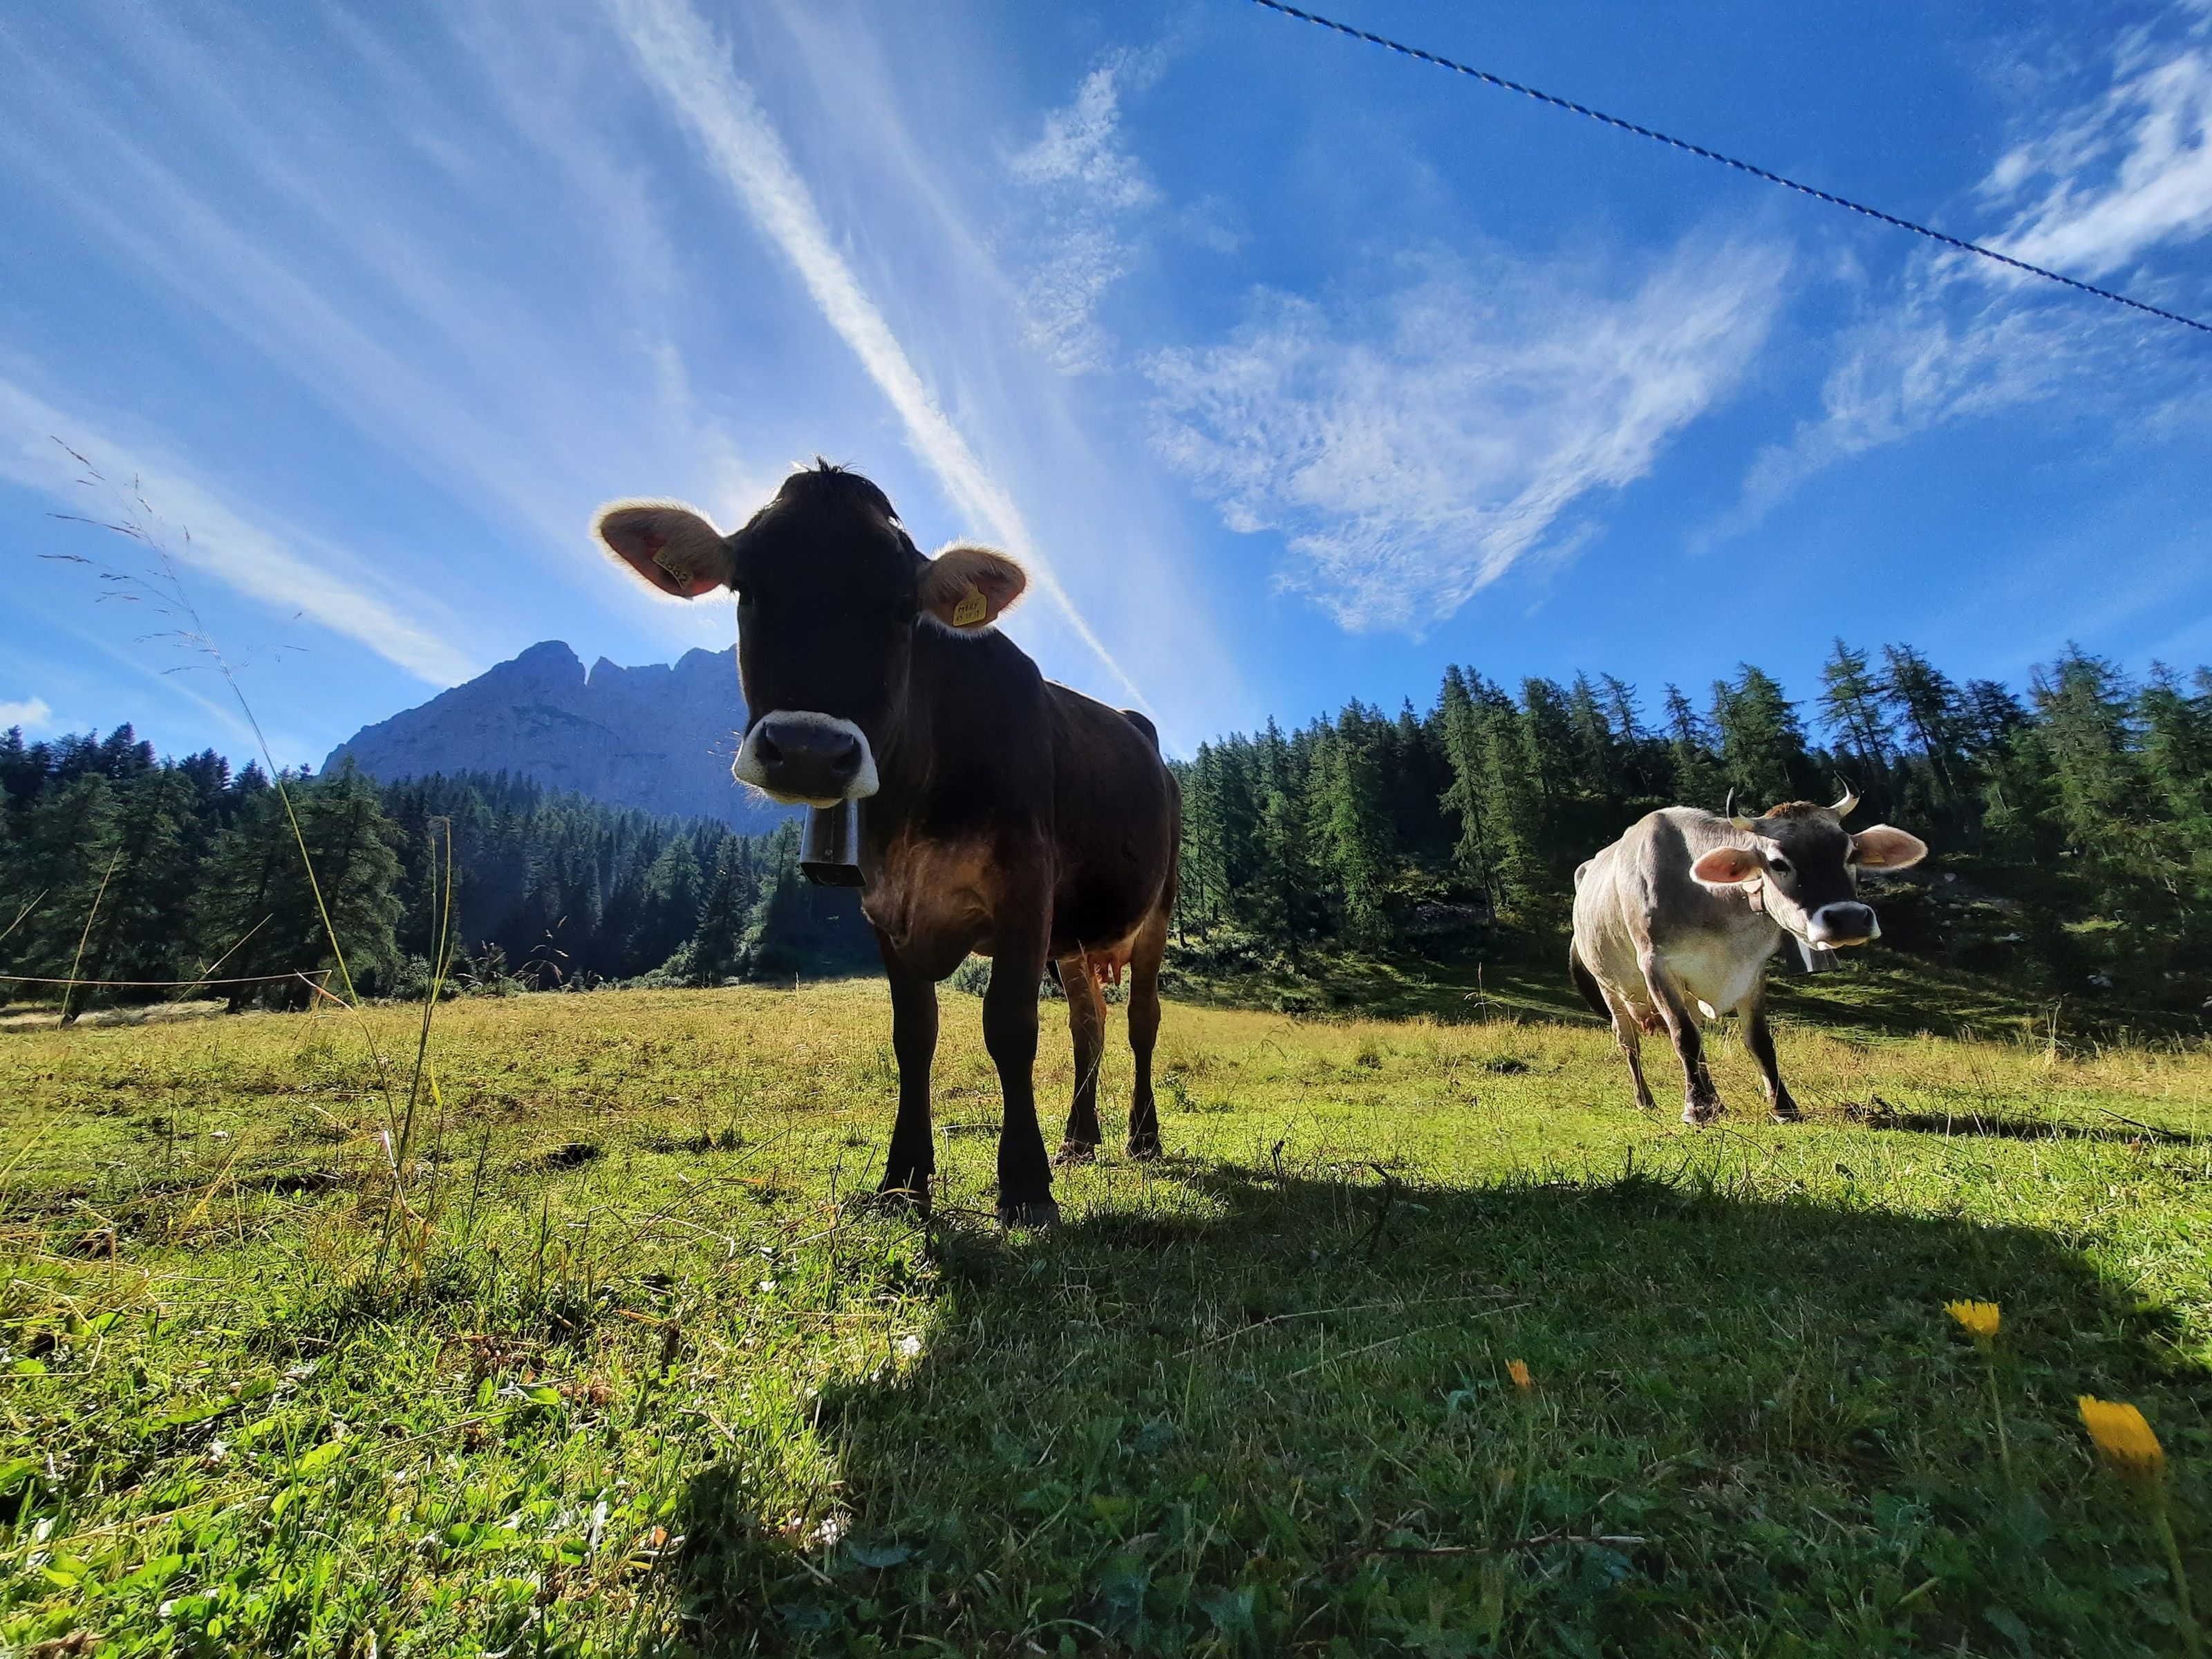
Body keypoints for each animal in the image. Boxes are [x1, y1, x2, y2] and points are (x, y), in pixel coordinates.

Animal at [594, 463, 1179, 1226]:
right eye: (747, 586)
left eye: (904, 607)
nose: (809, 750)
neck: (912, 806)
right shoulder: (885, 905)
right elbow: (914, 1036)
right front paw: (903, 1181)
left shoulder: (1025, 888)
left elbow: (1010, 1027)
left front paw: (1025, 1187)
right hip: (1075, 936)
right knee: (1090, 1021)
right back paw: (1080, 1139)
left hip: (1156, 909)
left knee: (1141, 1021)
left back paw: (1142, 1138)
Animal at [1568, 791, 1927, 1125]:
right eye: (1778, 863)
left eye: (1849, 854)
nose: (1849, 918)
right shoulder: (1656, 966)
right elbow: (1683, 1036)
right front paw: (1695, 1107)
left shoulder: (1751, 971)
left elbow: (1758, 1041)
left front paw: (1783, 1106)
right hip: (1610, 987)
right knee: (1629, 1042)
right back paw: (1646, 1099)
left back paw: (1716, 1102)